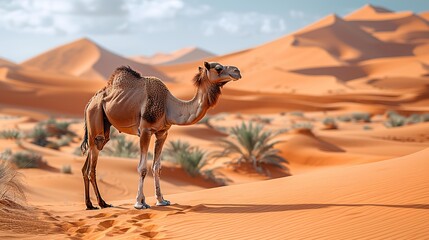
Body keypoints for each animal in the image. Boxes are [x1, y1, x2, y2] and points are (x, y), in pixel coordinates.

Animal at [80, 62, 241, 210]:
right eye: (218, 68)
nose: (237, 71)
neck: (168, 105)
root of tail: (90, 102)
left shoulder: (162, 133)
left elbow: (156, 167)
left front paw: (161, 200)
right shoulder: (145, 130)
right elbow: (142, 168)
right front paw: (139, 203)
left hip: (104, 127)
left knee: (88, 163)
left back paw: (90, 205)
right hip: (95, 116)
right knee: (92, 167)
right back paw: (102, 203)